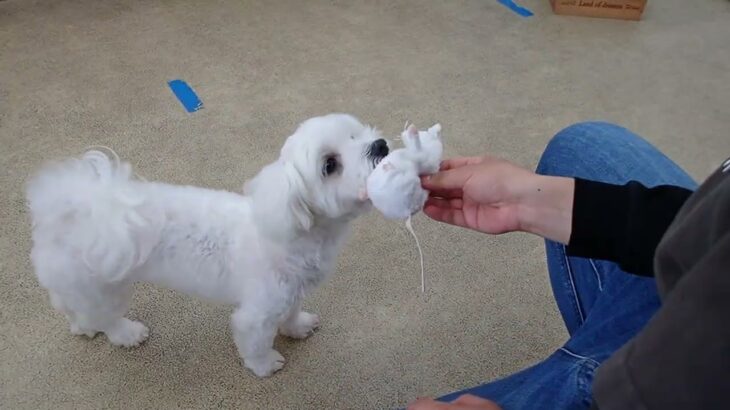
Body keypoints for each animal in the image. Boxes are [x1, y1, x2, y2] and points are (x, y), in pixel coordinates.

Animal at [26, 113, 390, 376]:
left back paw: (80, 325)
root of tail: (76, 208)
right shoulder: (257, 312)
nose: (381, 146)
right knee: (105, 317)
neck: (294, 230)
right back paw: (125, 333)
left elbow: (291, 313)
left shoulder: (290, 292)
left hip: (76, 280)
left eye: (356, 135)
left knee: (69, 304)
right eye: (330, 165)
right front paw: (265, 365)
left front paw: (297, 327)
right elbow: (255, 342)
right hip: (105, 287)